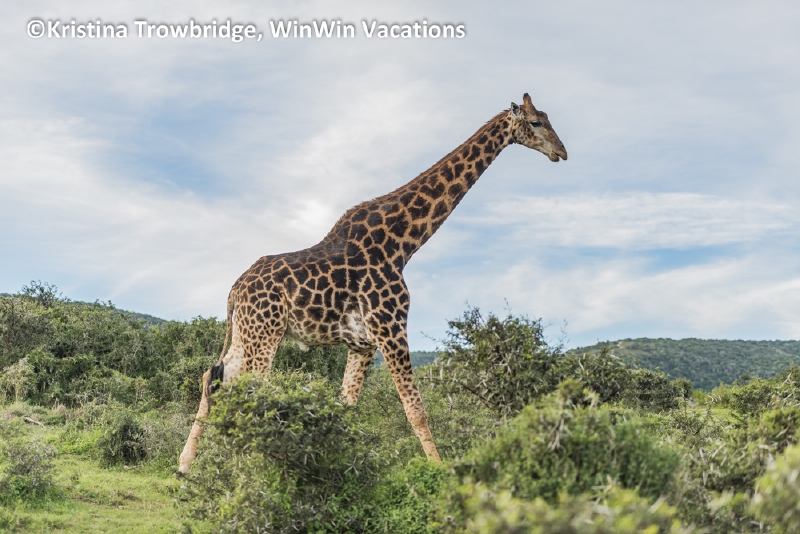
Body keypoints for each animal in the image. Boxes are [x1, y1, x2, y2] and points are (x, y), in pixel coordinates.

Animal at [178, 93, 567, 473]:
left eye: (549, 119)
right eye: (536, 122)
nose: (561, 151)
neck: (401, 243)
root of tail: (235, 288)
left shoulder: (361, 343)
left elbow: (347, 407)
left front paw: (340, 465)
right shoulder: (390, 327)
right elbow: (415, 409)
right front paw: (439, 471)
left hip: (247, 332)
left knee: (213, 377)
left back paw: (187, 466)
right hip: (265, 333)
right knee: (248, 390)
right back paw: (244, 466)